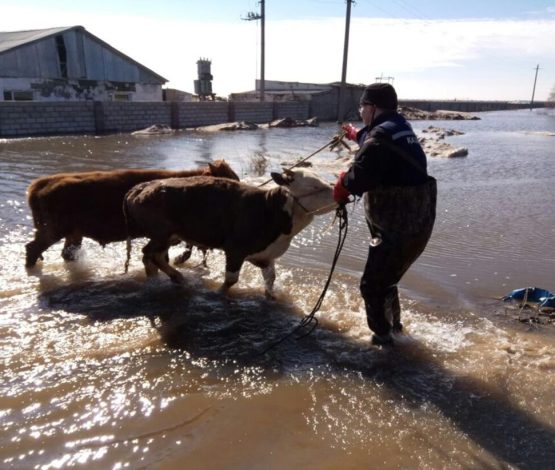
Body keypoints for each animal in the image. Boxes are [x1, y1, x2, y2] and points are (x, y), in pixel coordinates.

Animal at [25, 159, 239, 266]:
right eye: (228, 179)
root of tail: (40, 184)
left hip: (73, 234)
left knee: (66, 253)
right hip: (52, 230)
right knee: (32, 249)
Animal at [124, 170, 336, 298]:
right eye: (315, 187)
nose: (337, 192)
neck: (269, 210)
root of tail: (140, 187)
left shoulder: (265, 255)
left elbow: (270, 278)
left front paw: (272, 297)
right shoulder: (235, 250)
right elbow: (231, 280)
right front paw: (219, 293)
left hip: (170, 236)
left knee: (153, 256)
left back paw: (160, 279)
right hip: (161, 232)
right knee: (150, 254)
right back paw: (176, 277)